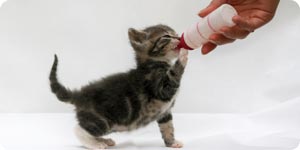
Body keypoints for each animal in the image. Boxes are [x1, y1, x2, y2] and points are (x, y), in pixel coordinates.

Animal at [50, 24, 189, 149]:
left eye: (176, 34)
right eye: (166, 36)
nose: (179, 38)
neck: (154, 63)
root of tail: (80, 95)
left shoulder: (164, 112)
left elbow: (168, 127)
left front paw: (172, 143)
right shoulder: (159, 87)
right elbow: (174, 73)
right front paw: (184, 54)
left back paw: (104, 140)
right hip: (103, 121)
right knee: (79, 130)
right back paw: (95, 144)